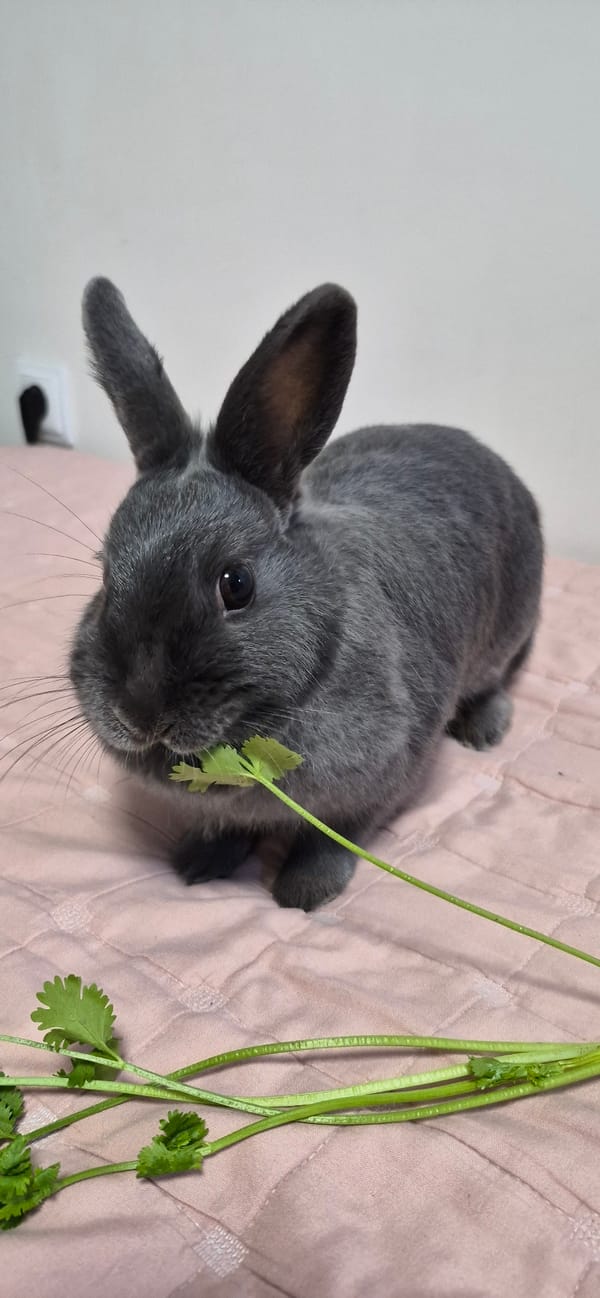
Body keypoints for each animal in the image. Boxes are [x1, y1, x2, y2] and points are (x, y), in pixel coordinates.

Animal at [70, 277, 543, 911]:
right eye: (103, 578)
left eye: (236, 585)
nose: (138, 712)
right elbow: (228, 825)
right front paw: (198, 863)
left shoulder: (383, 775)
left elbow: (335, 836)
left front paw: (304, 892)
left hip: (505, 629)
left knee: (492, 680)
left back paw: (484, 729)